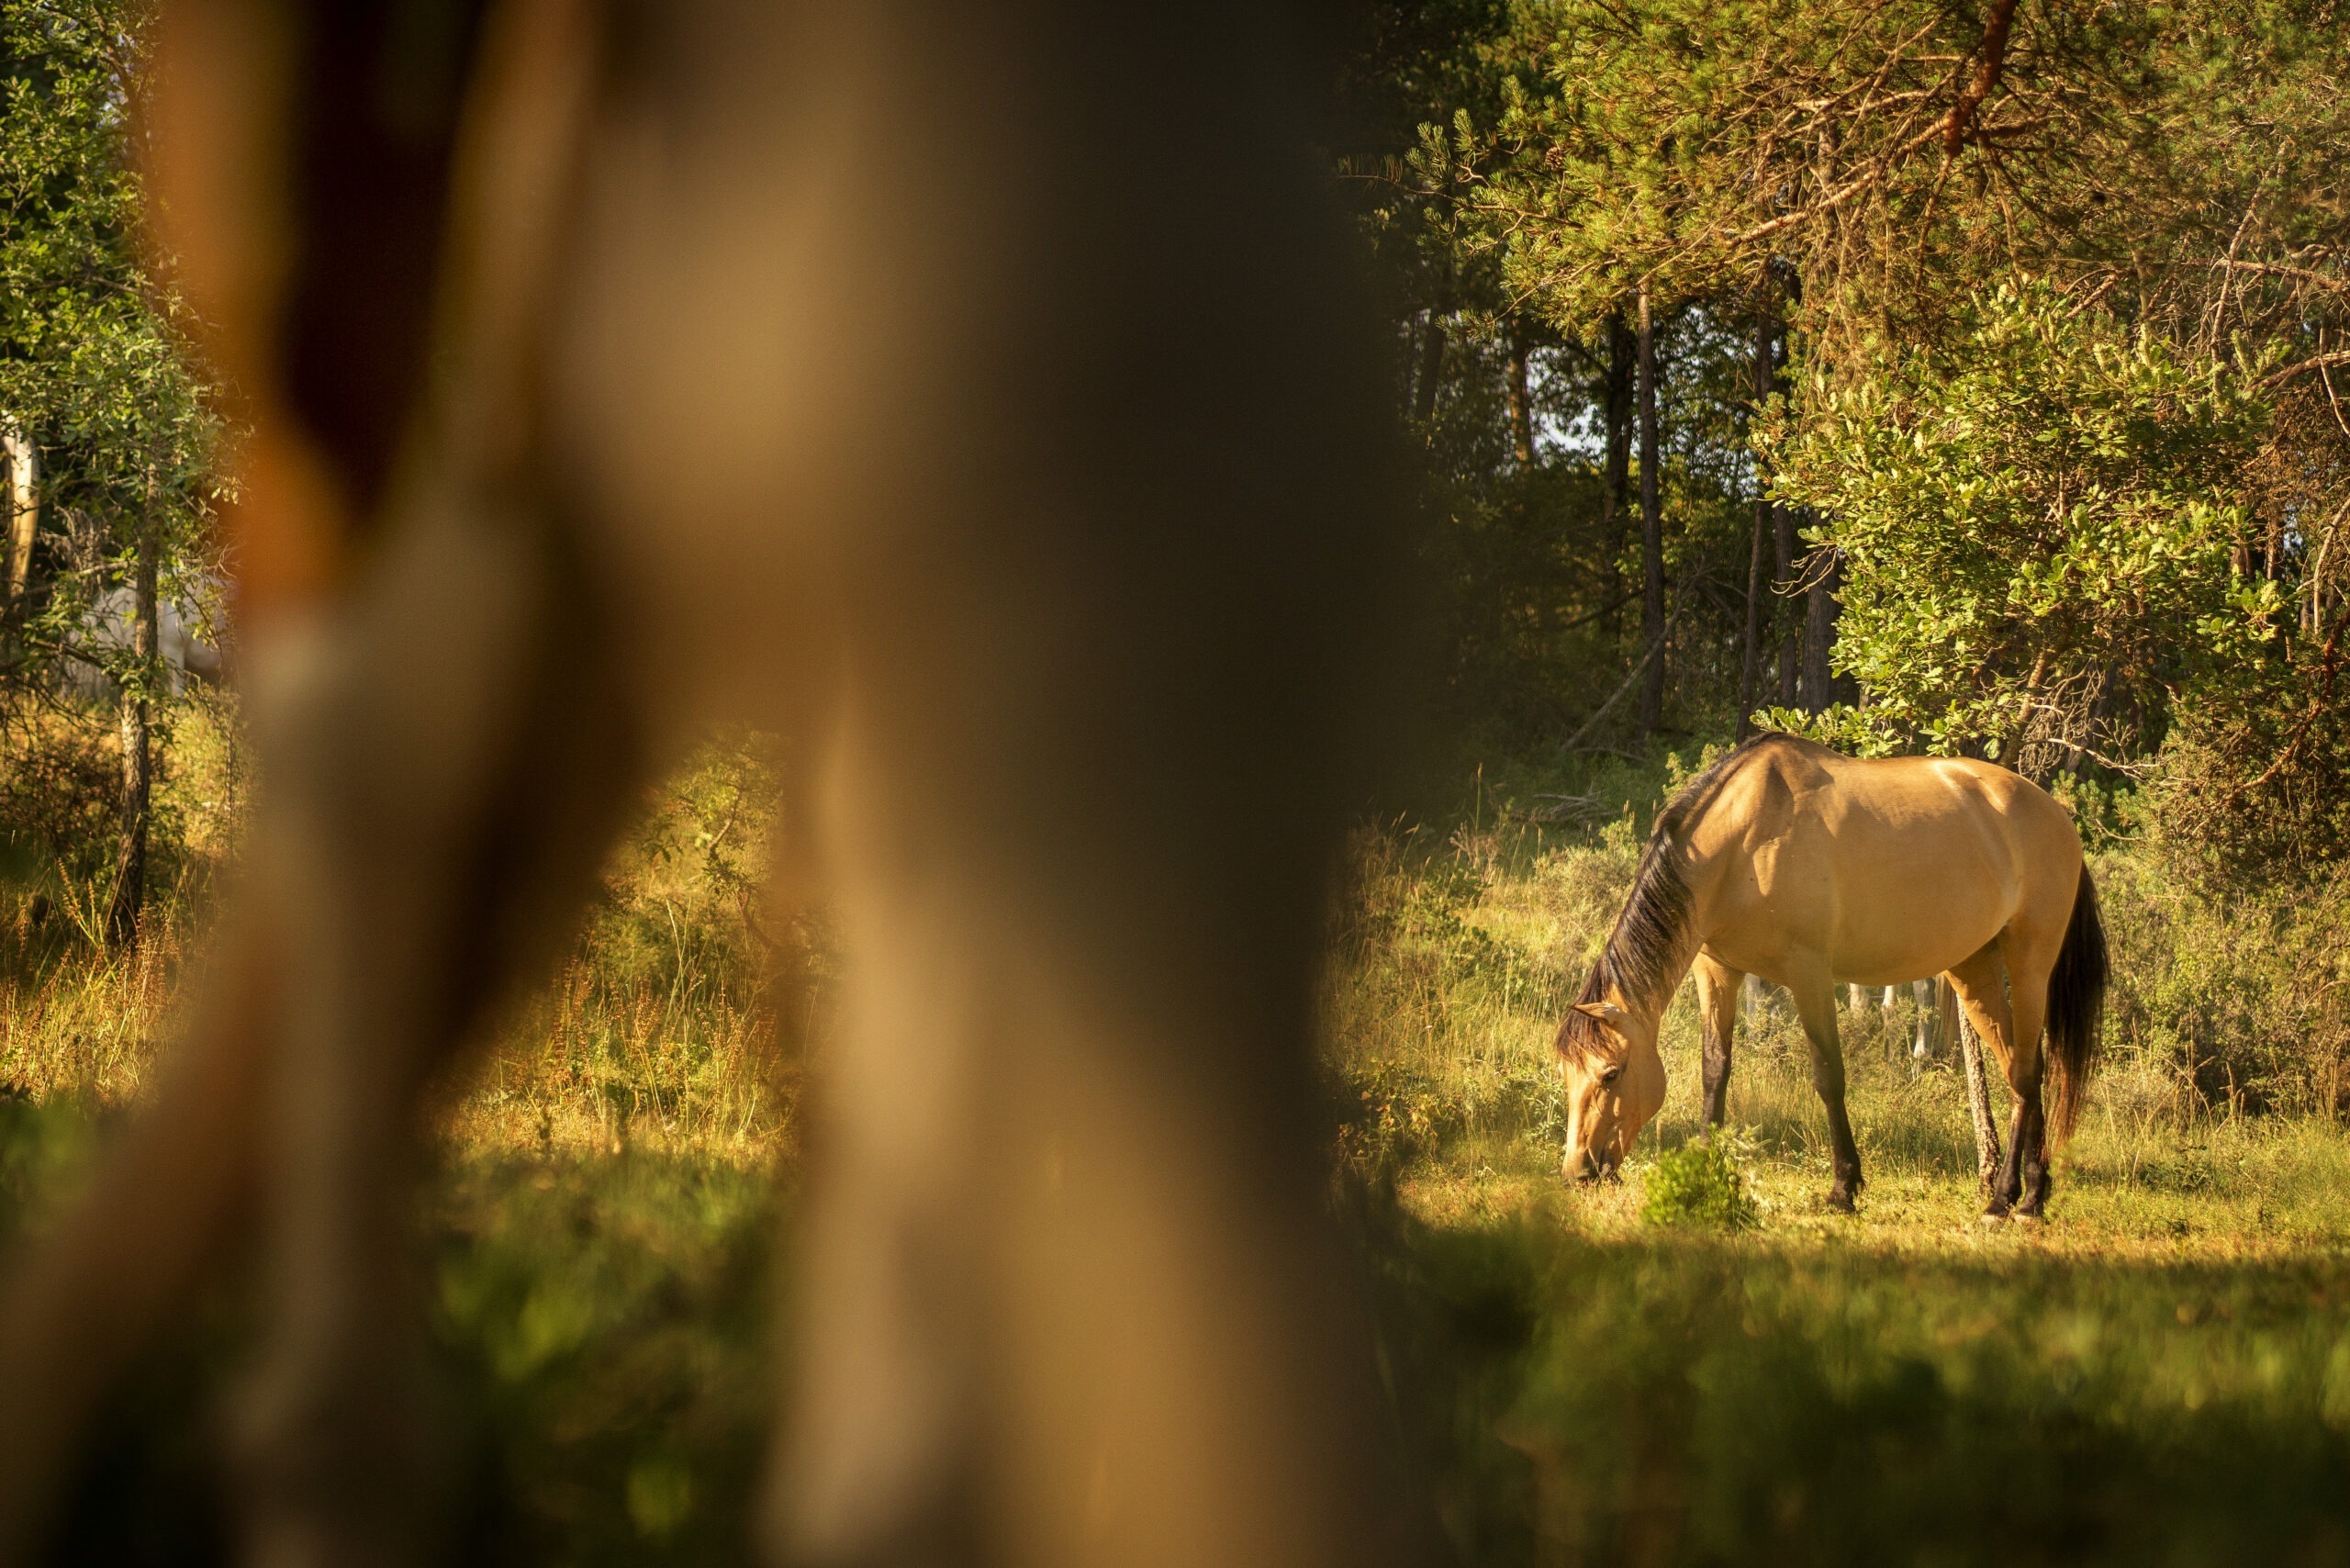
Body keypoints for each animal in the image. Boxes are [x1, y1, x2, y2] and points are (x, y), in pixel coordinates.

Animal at [1560, 728, 2115, 1222]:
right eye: (1567, 1073)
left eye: (1611, 1073)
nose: (1579, 1171)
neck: (1743, 843)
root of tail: (2057, 817)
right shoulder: (1717, 971)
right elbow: (1714, 1071)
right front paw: (1704, 1170)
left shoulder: (1808, 973)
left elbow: (1828, 1076)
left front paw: (1844, 1188)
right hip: (1972, 970)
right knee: (2018, 1069)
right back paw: (2029, 1192)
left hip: (2029, 962)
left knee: (2027, 1072)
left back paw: (2008, 1201)